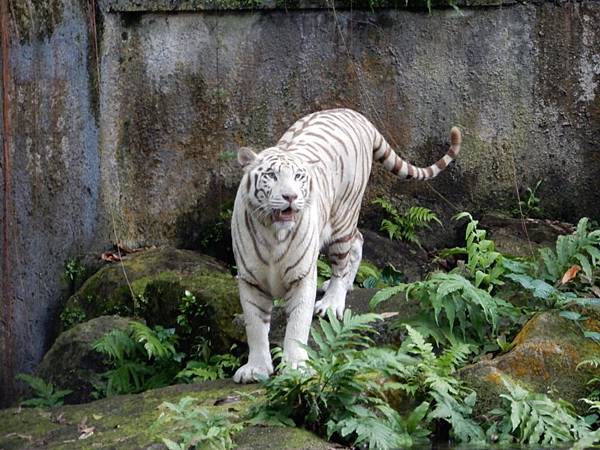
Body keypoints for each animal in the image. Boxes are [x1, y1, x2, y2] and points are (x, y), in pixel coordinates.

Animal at [230, 107, 460, 382]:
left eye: (298, 176)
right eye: (271, 175)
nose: (291, 196)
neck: (274, 234)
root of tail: (355, 114)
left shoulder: (302, 276)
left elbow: (297, 324)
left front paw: (296, 366)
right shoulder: (250, 279)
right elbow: (254, 326)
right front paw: (255, 369)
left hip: (343, 216)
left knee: (342, 261)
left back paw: (331, 302)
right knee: (358, 240)